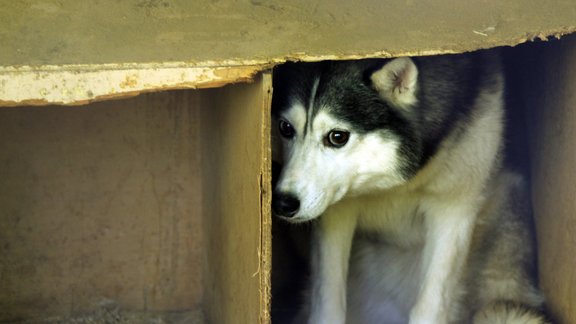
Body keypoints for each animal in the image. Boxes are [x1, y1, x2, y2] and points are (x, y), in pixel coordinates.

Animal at [272, 52, 548, 322]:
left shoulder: (454, 209)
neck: (395, 184)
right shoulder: (336, 213)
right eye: (285, 128)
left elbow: (431, 306)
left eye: (337, 137)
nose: (283, 203)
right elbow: (327, 304)